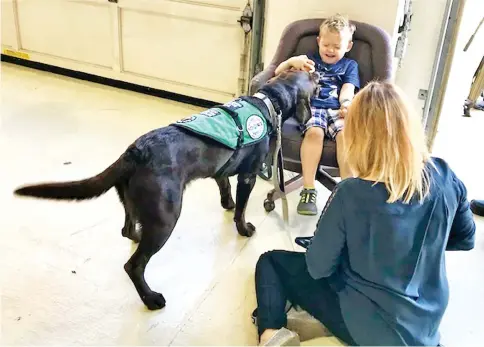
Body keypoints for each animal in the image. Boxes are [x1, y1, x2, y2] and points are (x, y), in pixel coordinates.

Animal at [13, 69, 320, 312]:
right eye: (313, 78)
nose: (317, 71)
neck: (269, 100)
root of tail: (134, 152)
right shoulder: (248, 175)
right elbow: (242, 209)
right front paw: (243, 227)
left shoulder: (221, 171)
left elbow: (224, 189)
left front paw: (227, 203)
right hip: (166, 217)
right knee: (133, 265)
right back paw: (151, 299)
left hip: (132, 201)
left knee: (127, 230)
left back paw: (137, 236)